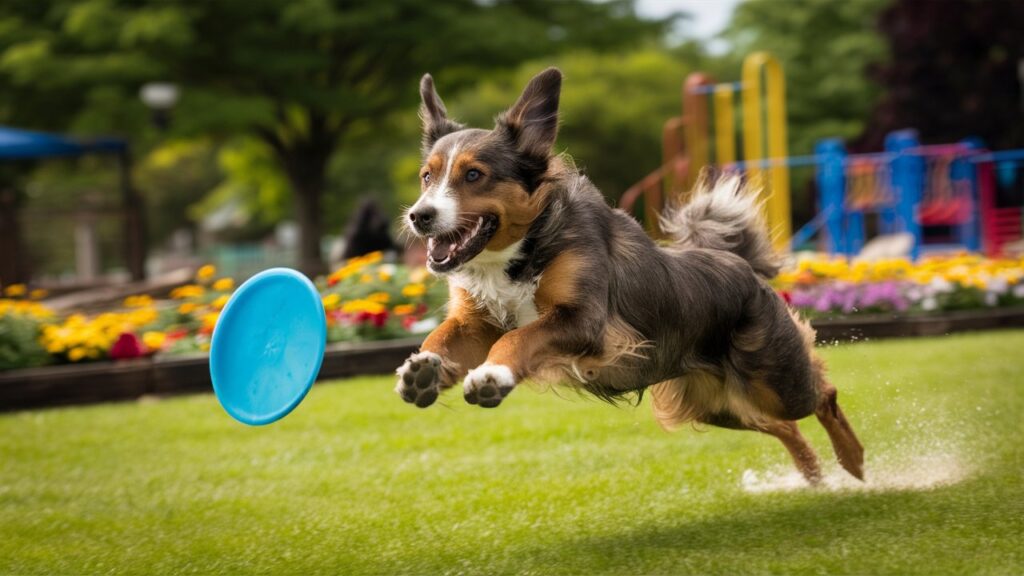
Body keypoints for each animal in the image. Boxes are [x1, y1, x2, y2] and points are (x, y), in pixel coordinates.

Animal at [395, 67, 860, 481]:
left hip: (772, 378)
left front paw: (492, 375)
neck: (523, 247)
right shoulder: (475, 321)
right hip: (717, 404)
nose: (419, 216)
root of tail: (741, 267)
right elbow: (442, 336)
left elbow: (519, 338)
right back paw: (813, 472)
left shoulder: (584, 321)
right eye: (427, 176)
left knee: (823, 397)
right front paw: (424, 370)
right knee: (783, 425)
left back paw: (853, 463)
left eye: (474, 174)